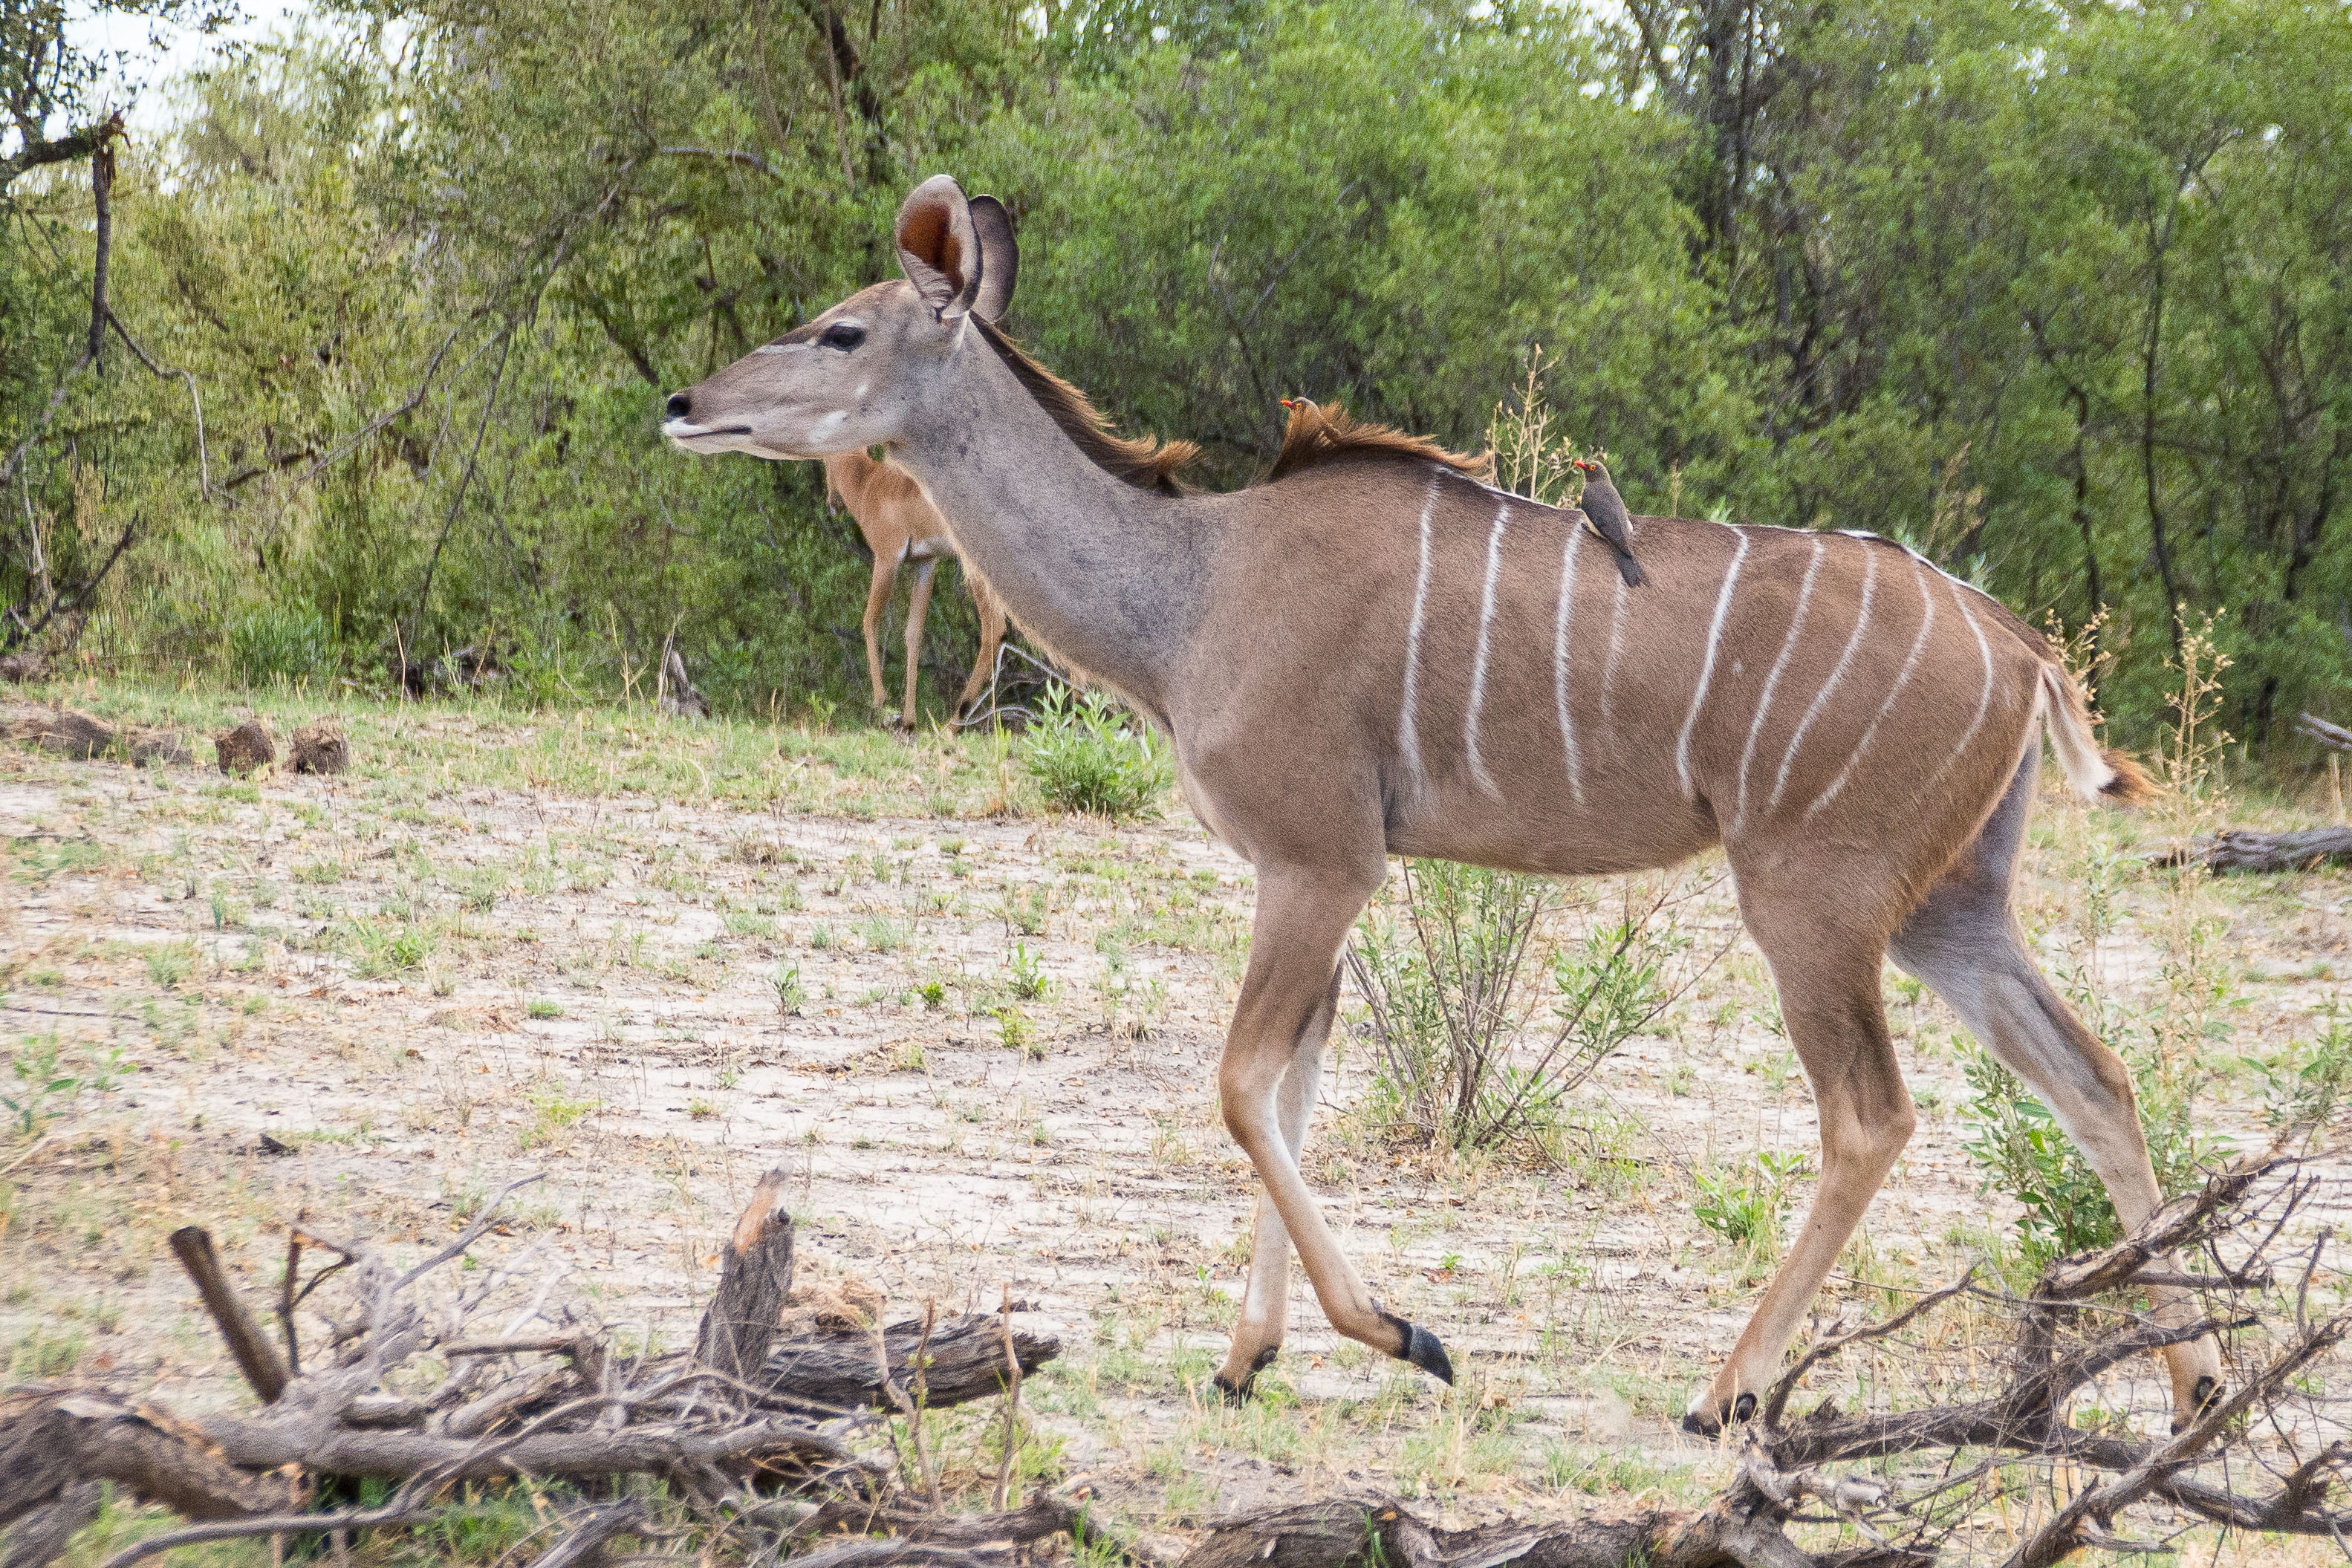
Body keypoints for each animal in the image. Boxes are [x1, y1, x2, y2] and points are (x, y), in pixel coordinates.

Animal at [823, 446, 1007, 729]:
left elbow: (869, 620)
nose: (832, 503)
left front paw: (880, 702)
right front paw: (909, 719)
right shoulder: (925, 564)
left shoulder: (887, 560)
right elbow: (913, 633)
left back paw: (954, 724)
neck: (869, 484)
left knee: (994, 629)